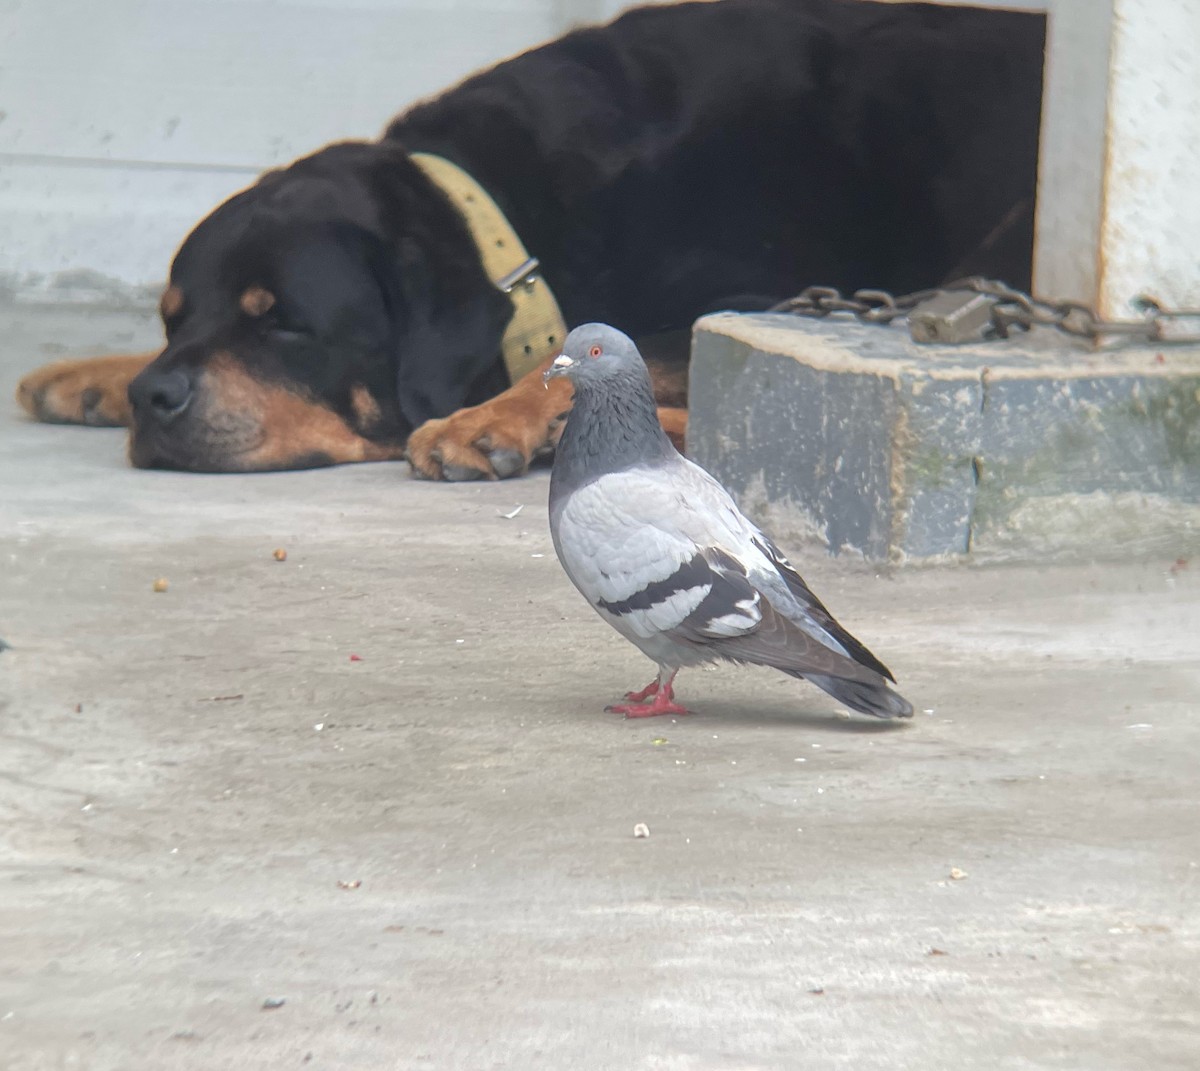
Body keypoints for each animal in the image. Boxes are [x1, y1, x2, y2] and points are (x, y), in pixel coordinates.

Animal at [21, 0, 1051, 477]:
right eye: (172, 318)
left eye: (285, 324)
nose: (154, 395)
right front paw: (94, 372)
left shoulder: (758, 292)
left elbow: (651, 348)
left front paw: (489, 417)